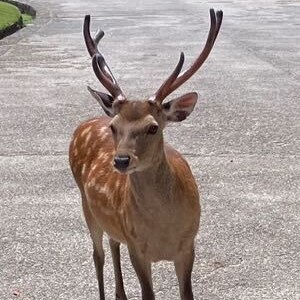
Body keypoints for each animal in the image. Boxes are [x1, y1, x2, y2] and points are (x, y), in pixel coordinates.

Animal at [68, 9, 223, 300]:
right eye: (114, 126)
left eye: (153, 127)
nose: (121, 160)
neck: (163, 230)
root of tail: (84, 124)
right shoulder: (137, 247)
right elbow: (147, 294)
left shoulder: (188, 244)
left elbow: (187, 294)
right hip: (87, 206)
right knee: (98, 254)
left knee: (112, 242)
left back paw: (120, 294)